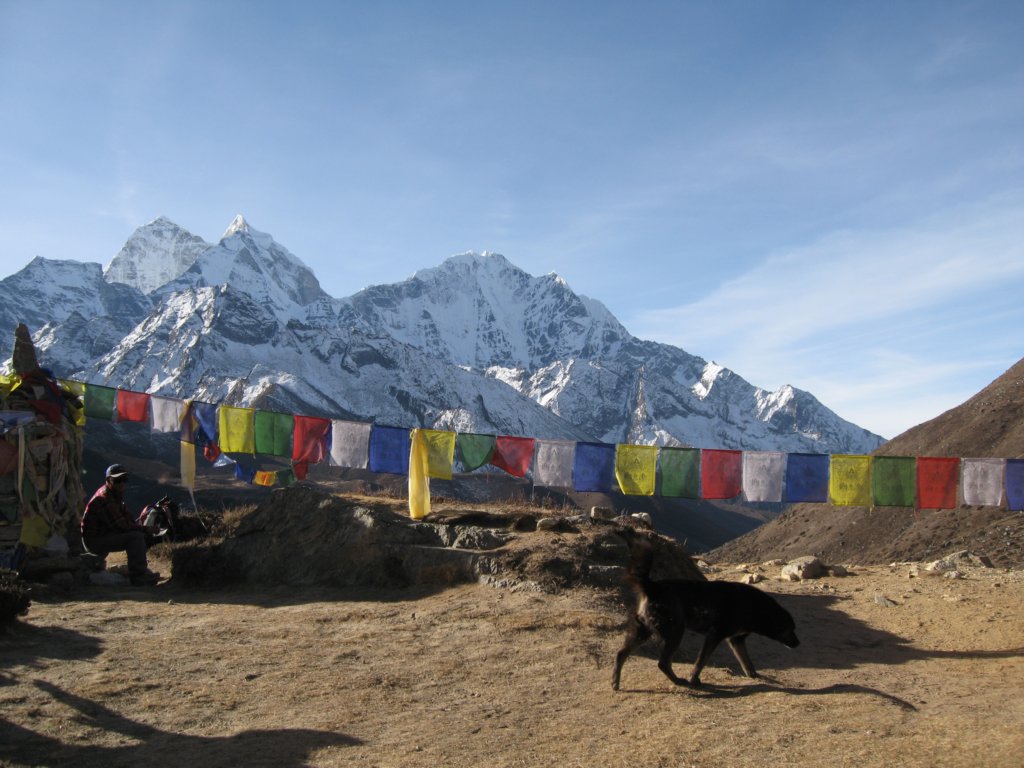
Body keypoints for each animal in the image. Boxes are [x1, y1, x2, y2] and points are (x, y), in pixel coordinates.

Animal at [611, 545, 799, 690]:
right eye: (790, 629)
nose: (798, 643)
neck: (756, 608)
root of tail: (652, 586)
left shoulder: (736, 640)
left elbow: (746, 661)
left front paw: (753, 675)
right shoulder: (715, 635)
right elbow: (701, 661)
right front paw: (694, 679)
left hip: (643, 631)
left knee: (621, 654)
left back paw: (615, 683)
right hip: (675, 631)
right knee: (662, 662)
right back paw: (678, 681)